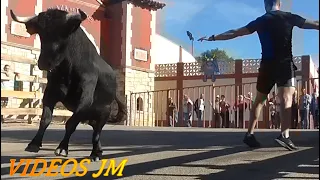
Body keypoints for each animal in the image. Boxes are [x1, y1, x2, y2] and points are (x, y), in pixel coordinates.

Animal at [10, 8, 127, 161]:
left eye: (63, 32)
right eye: (41, 32)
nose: (44, 62)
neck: (67, 70)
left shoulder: (85, 99)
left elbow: (71, 123)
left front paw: (62, 148)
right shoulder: (50, 94)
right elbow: (45, 119)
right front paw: (34, 144)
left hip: (104, 112)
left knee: (97, 132)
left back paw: (95, 153)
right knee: (95, 131)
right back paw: (99, 150)